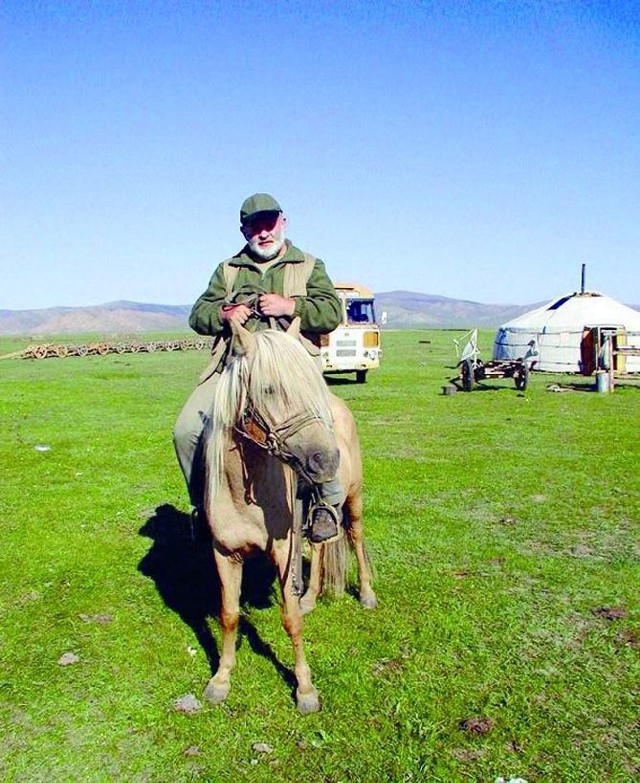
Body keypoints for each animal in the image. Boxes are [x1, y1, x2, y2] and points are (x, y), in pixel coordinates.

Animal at [202, 320, 378, 716]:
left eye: (314, 385)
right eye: (268, 388)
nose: (326, 461)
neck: (245, 494)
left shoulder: (284, 554)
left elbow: (291, 620)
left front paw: (305, 689)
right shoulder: (224, 554)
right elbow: (229, 614)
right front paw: (221, 679)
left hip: (354, 500)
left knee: (355, 537)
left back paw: (366, 594)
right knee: (324, 545)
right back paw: (312, 597)